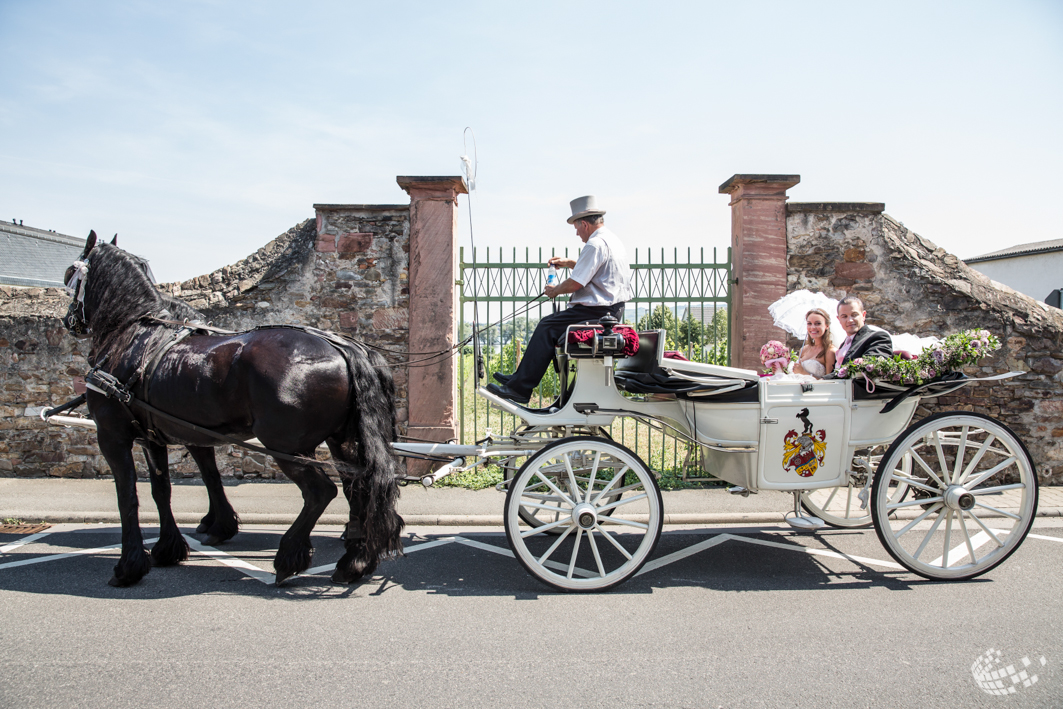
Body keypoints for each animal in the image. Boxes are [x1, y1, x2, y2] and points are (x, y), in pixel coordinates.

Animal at [63, 232, 401, 586]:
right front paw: (171, 547)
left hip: (285, 444)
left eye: (70, 273)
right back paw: (355, 562)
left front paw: (129, 565)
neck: (132, 335)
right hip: (342, 439)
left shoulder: (112, 435)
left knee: (321, 491)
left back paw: (290, 556)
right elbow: (165, 489)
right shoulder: (159, 436)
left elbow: (127, 495)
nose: (68, 321)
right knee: (359, 488)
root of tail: (344, 347)